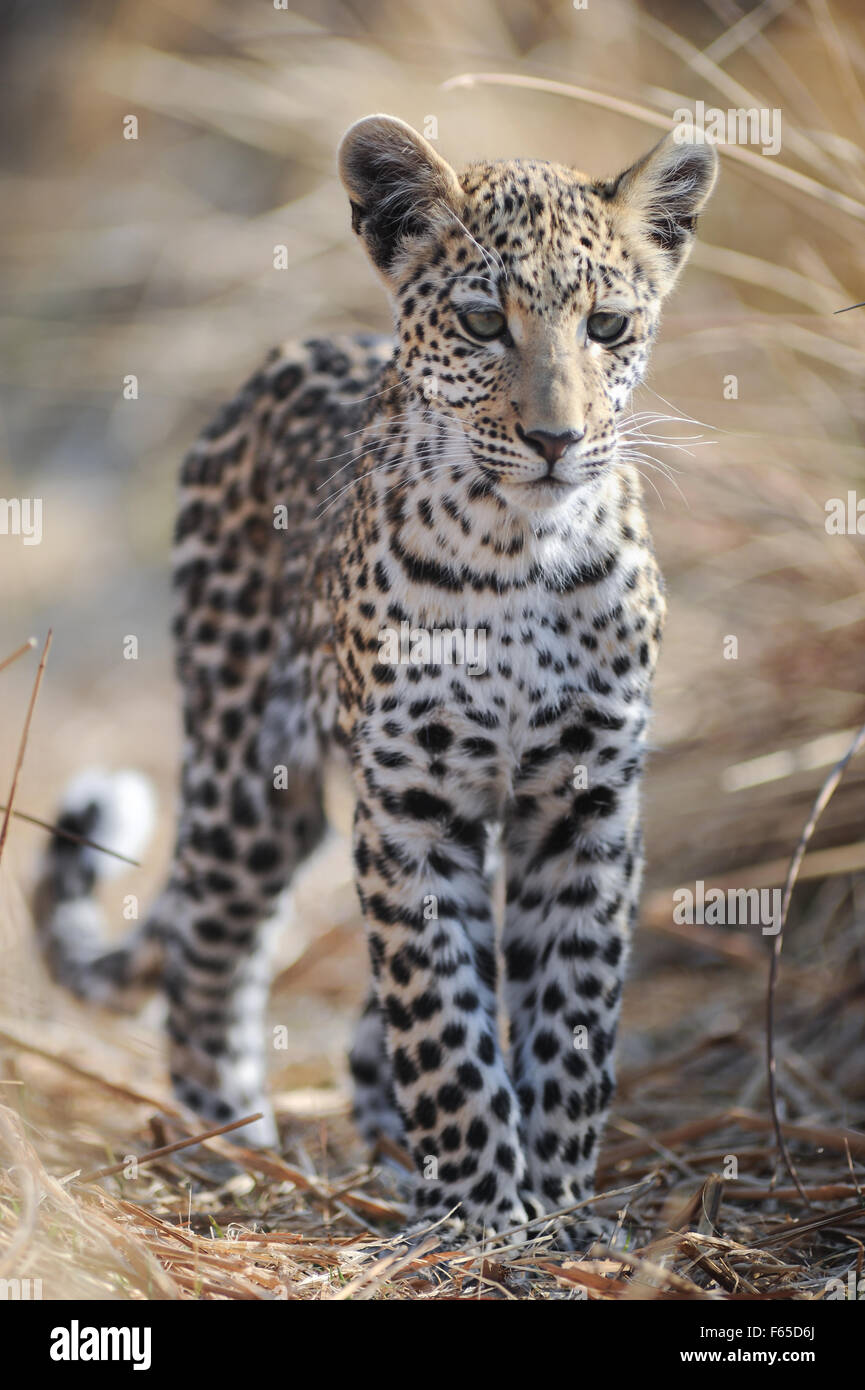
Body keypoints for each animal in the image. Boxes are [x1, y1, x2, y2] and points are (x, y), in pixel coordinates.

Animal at [32, 114, 717, 1243]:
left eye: (609, 325)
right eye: (482, 322)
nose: (556, 440)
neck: (522, 551)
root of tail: (276, 361)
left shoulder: (586, 803)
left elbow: (569, 1012)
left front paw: (559, 1210)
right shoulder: (412, 802)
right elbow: (439, 1017)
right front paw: (482, 1212)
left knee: (358, 1034)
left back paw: (388, 1151)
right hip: (247, 780)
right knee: (207, 961)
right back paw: (233, 1155)